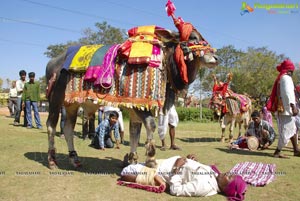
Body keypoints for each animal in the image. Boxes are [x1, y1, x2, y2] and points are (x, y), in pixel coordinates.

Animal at [45, 0, 218, 169]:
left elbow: (135, 132)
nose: (215, 57)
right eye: (193, 37)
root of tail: (54, 61)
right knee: (51, 126)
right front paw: (151, 159)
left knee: (68, 128)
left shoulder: (135, 107)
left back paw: (74, 158)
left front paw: (132, 160)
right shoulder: (140, 105)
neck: (164, 62)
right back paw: (52, 160)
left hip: (71, 104)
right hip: (55, 101)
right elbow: (151, 125)